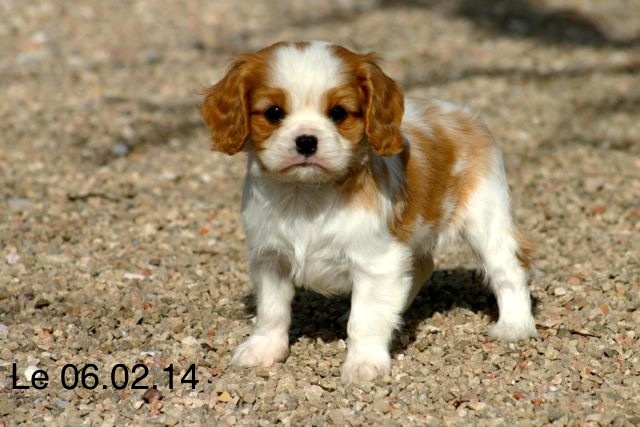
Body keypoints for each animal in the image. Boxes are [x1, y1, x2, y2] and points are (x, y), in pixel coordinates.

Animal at [199, 41, 536, 384]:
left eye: (338, 113)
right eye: (273, 113)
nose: (306, 141)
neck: (306, 195)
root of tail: (463, 112)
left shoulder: (377, 262)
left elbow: (365, 318)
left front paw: (364, 363)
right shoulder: (271, 258)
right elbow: (271, 311)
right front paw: (263, 349)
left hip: (486, 218)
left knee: (508, 270)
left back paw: (514, 326)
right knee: (421, 267)